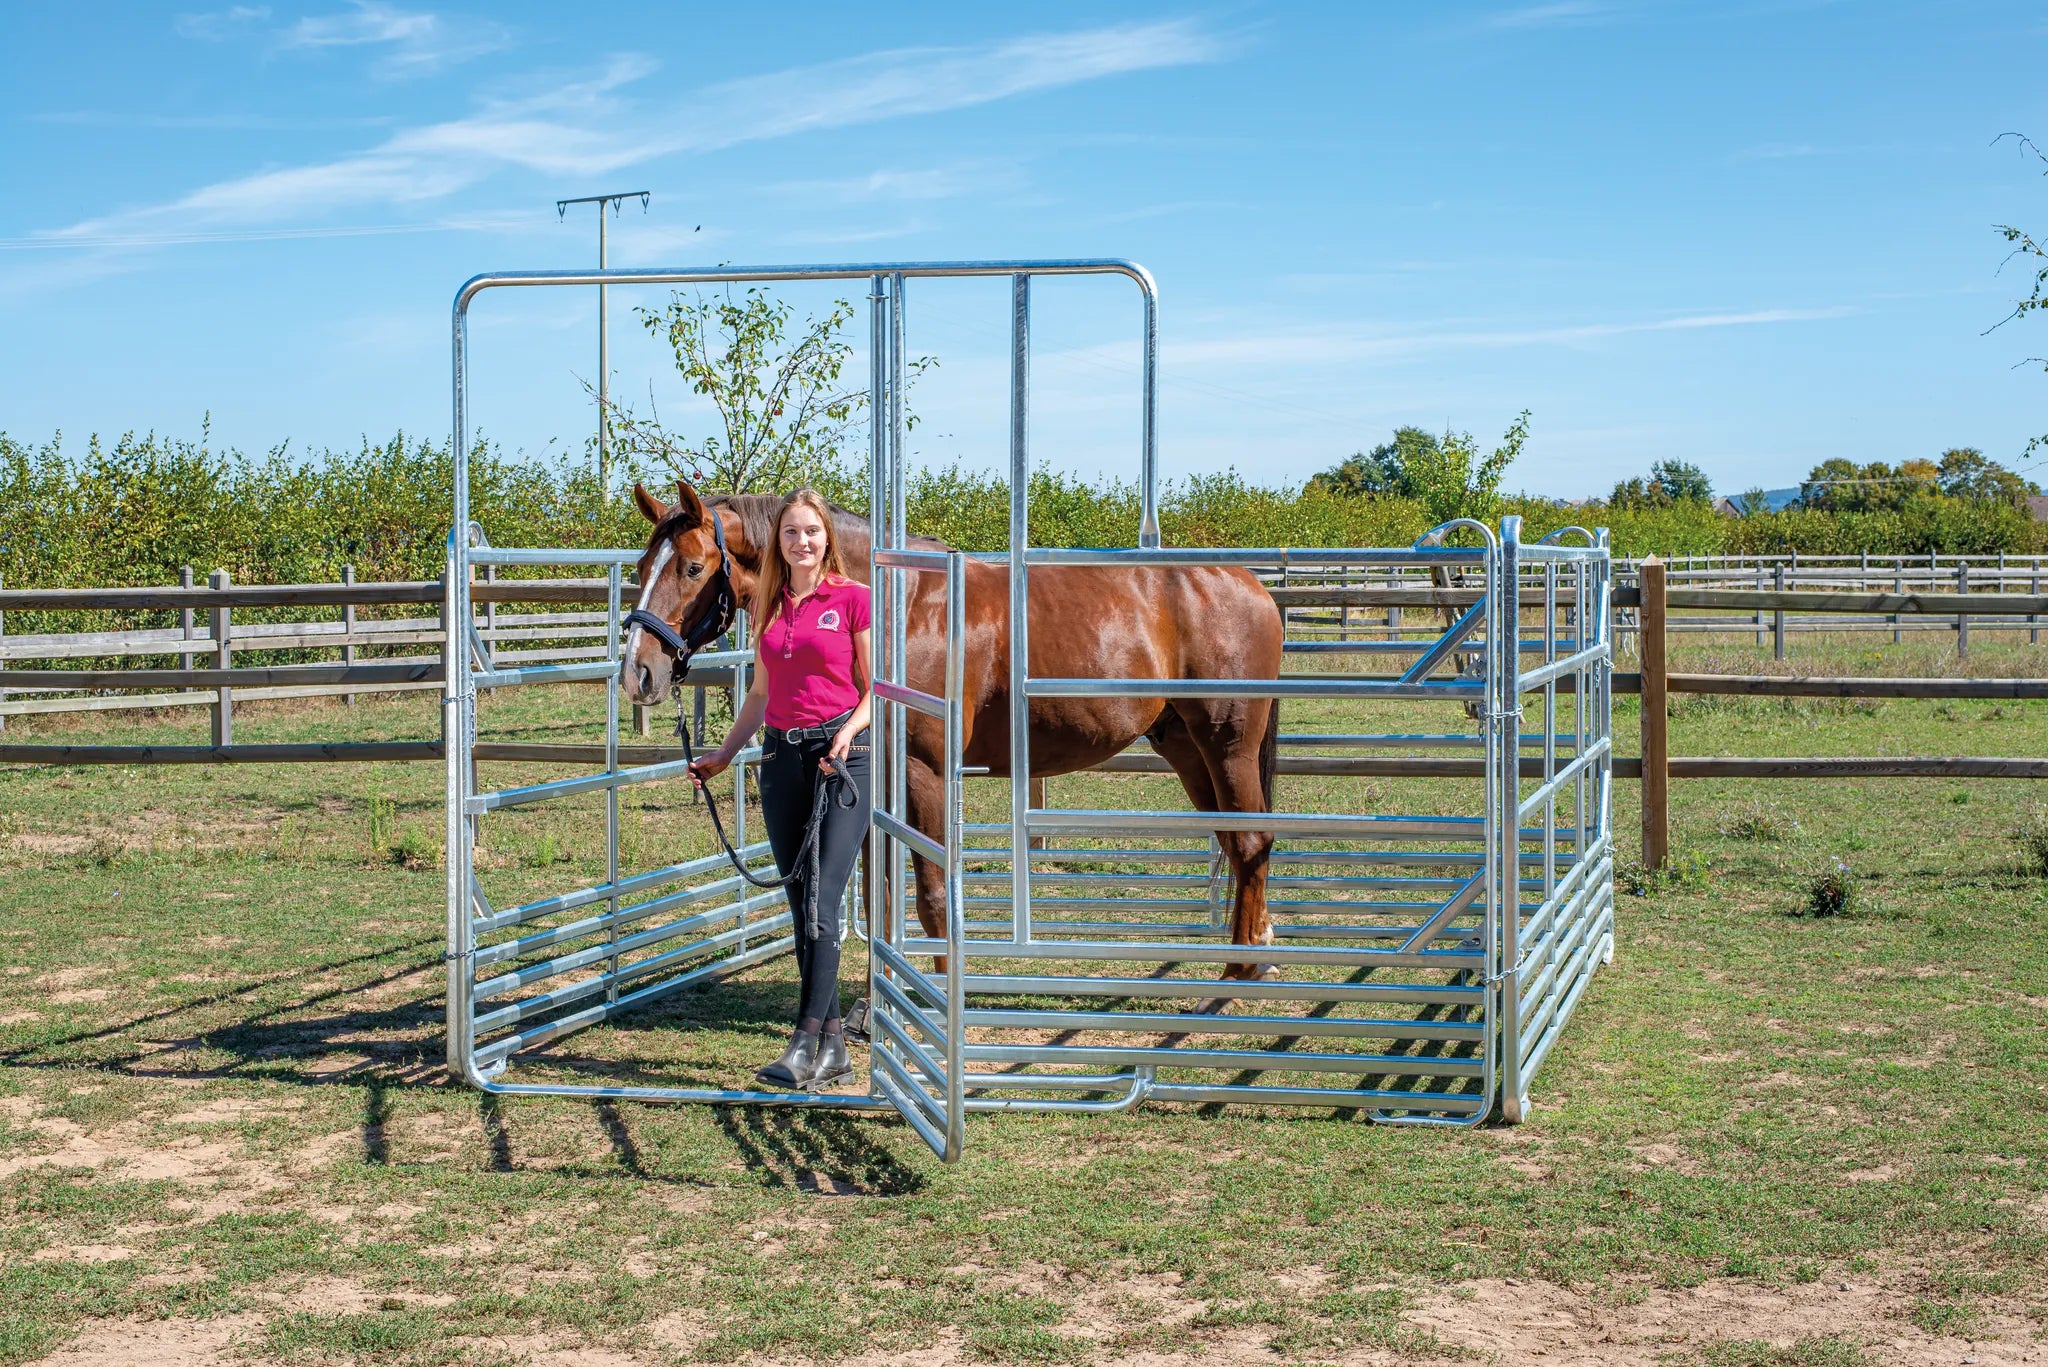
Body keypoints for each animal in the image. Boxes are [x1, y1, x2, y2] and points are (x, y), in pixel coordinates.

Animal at [618, 480, 1285, 980]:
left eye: (693, 566)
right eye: (643, 565)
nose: (638, 673)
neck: (898, 607)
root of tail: (1250, 585)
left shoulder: (926, 774)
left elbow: (934, 898)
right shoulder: (869, 779)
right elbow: (876, 894)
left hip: (1227, 744)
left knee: (1251, 842)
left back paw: (1237, 976)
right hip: (1187, 747)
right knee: (1235, 842)